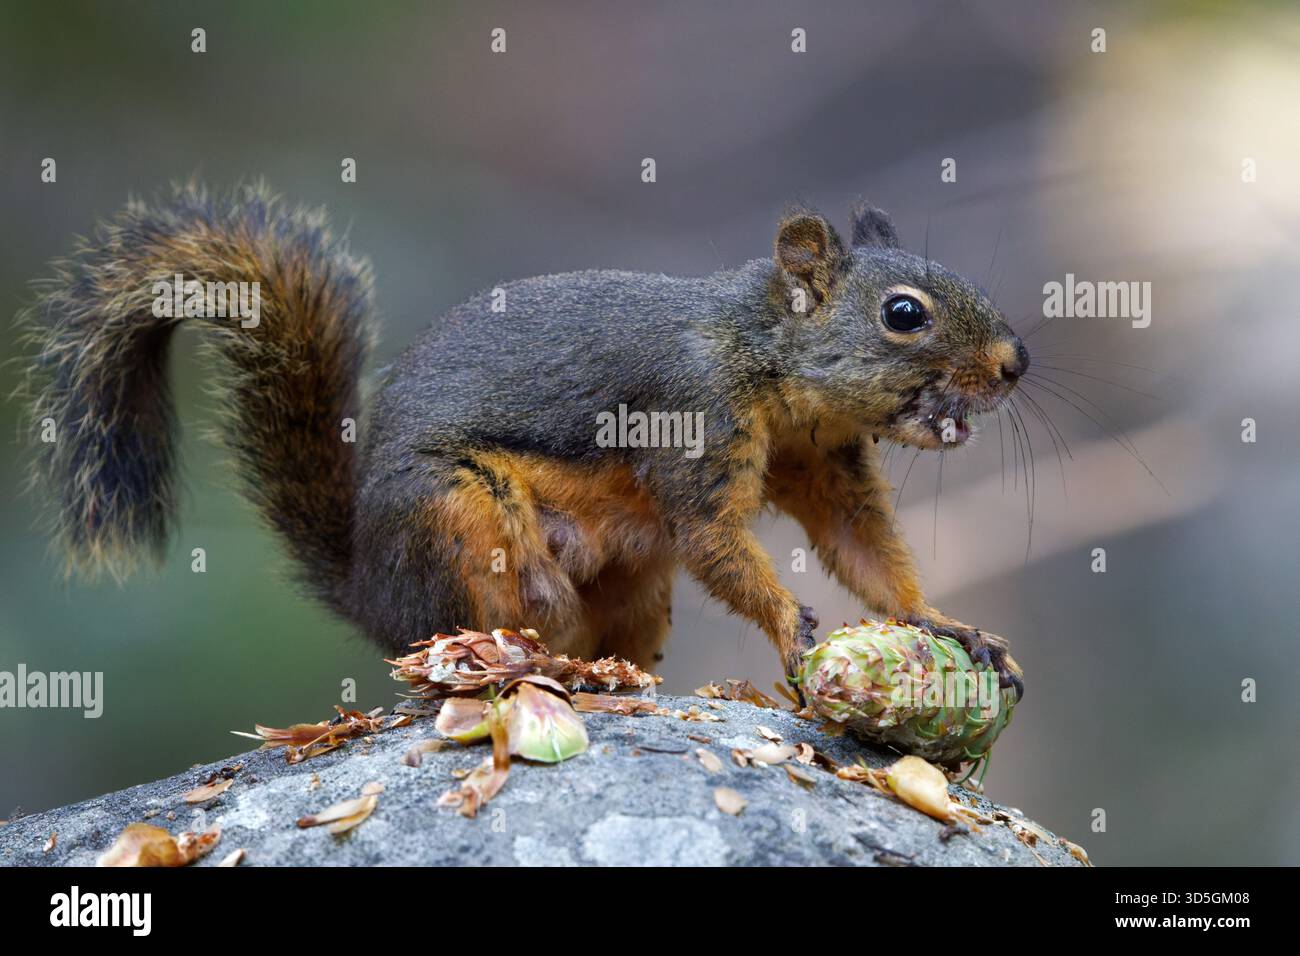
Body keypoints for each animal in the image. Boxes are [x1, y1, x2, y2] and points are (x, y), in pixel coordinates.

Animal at [22, 183, 1026, 699]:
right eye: (904, 315)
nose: (1017, 363)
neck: (766, 360)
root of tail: (369, 592)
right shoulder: (691, 417)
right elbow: (713, 538)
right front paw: (789, 623)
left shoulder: (824, 462)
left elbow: (864, 550)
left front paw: (943, 622)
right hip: (463, 524)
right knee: (457, 642)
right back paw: (528, 663)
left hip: (635, 588)